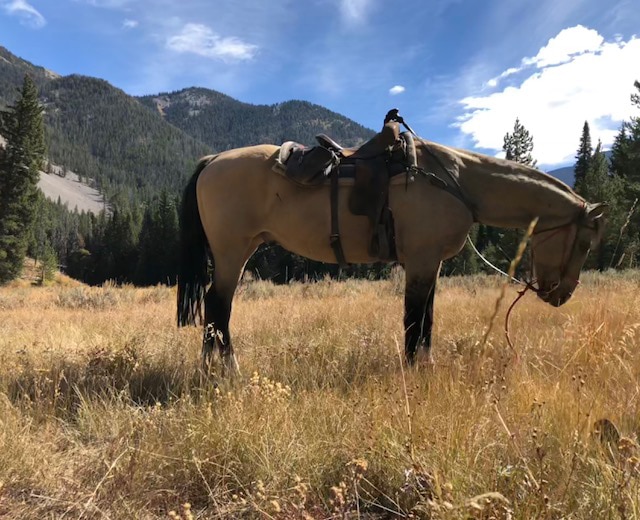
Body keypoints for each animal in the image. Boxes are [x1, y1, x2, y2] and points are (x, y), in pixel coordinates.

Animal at [175, 112, 604, 374]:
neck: (455, 182)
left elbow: (427, 320)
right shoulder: (421, 261)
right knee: (219, 306)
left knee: (214, 308)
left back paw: (209, 368)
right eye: (585, 243)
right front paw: (414, 371)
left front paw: (425, 366)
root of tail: (212, 161)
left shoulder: (430, 265)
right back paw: (228, 371)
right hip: (233, 252)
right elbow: (414, 321)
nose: (562, 295)